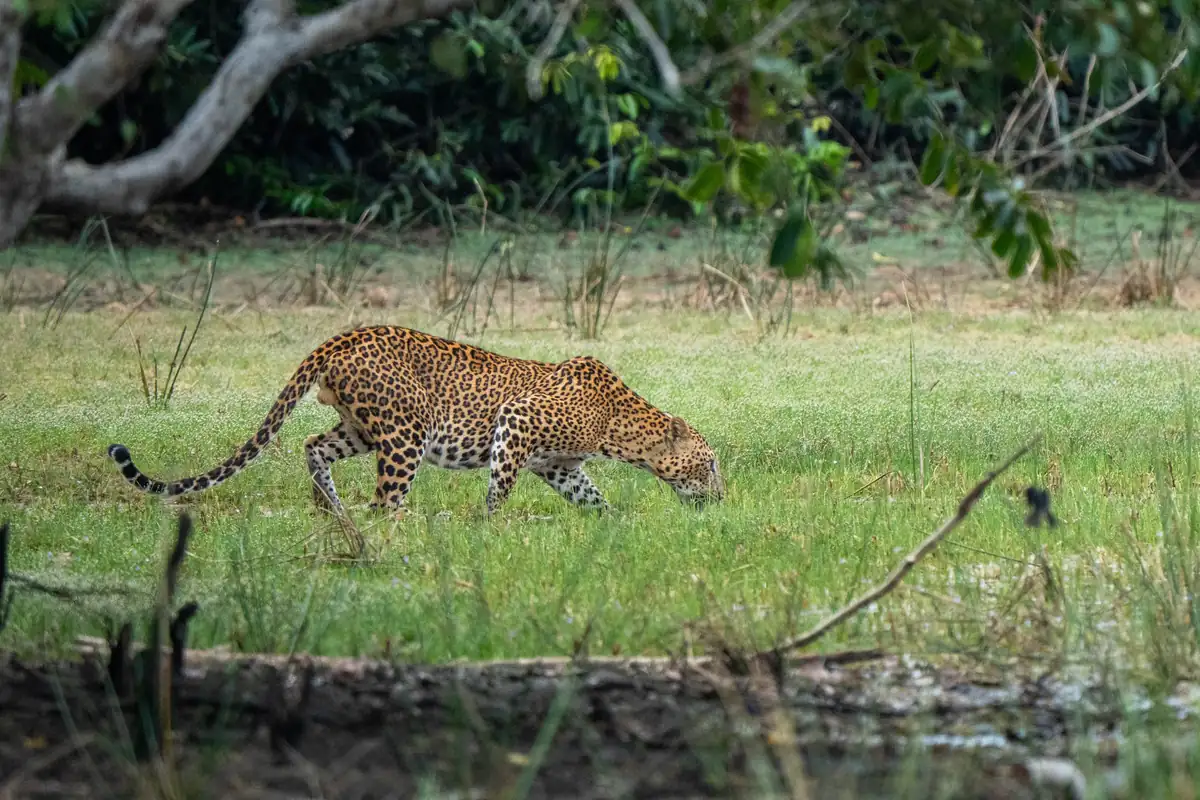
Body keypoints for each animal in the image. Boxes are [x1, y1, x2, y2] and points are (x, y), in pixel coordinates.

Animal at [107, 325, 725, 516]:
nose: (723, 495)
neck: (619, 425)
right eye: (711, 463)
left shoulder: (559, 466)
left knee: (314, 446)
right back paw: (394, 530)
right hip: (407, 432)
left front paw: (615, 525)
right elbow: (499, 488)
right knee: (386, 499)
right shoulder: (516, 423)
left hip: (361, 427)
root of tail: (342, 337)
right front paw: (485, 529)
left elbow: (593, 498)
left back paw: (332, 513)